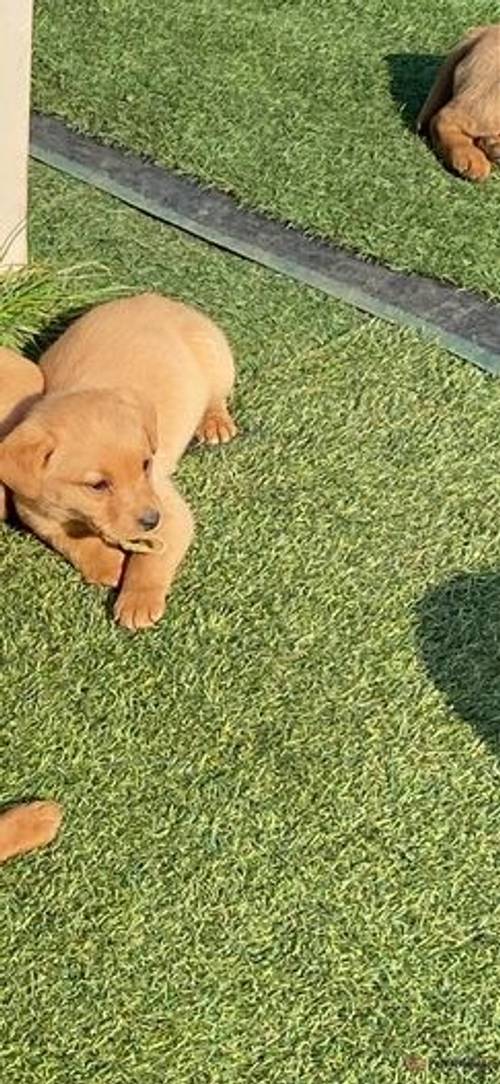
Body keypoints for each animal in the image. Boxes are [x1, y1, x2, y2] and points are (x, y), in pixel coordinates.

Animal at [0, 292, 236, 633]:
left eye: (146, 465)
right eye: (98, 485)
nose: (152, 520)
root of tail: (159, 297)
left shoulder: (170, 509)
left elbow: (153, 559)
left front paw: (139, 601)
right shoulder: (35, 511)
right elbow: (69, 540)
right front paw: (107, 564)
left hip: (215, 359)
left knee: (216, 396)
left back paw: (216, 423)